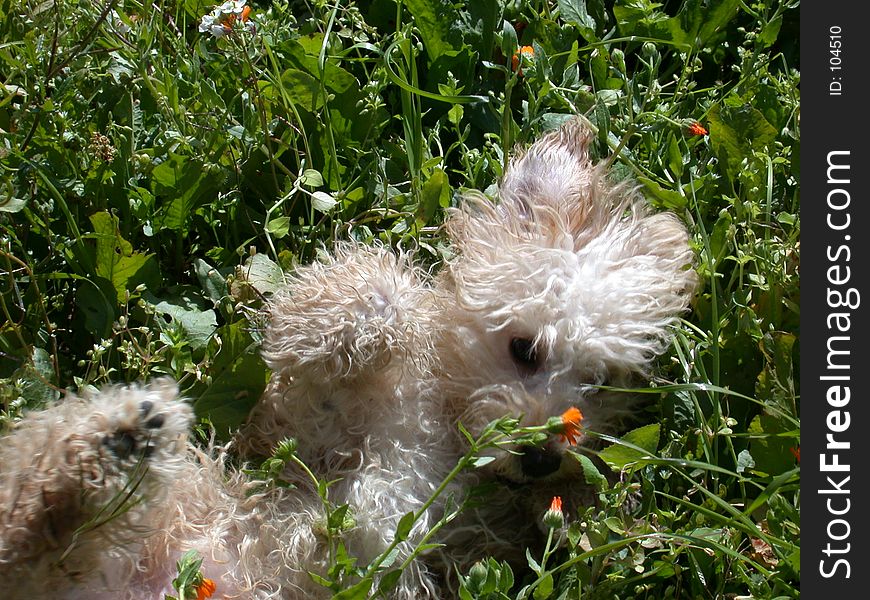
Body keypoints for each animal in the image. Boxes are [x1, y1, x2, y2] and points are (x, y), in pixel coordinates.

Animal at [0, 119, 696, 596]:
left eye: (601, 384)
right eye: (525, 349)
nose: (544, 456)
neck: (448, 432)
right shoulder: (292, 427)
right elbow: (370, 300)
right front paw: (350, 324)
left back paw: (115, 446)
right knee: (22, 510)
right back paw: (106, 443)